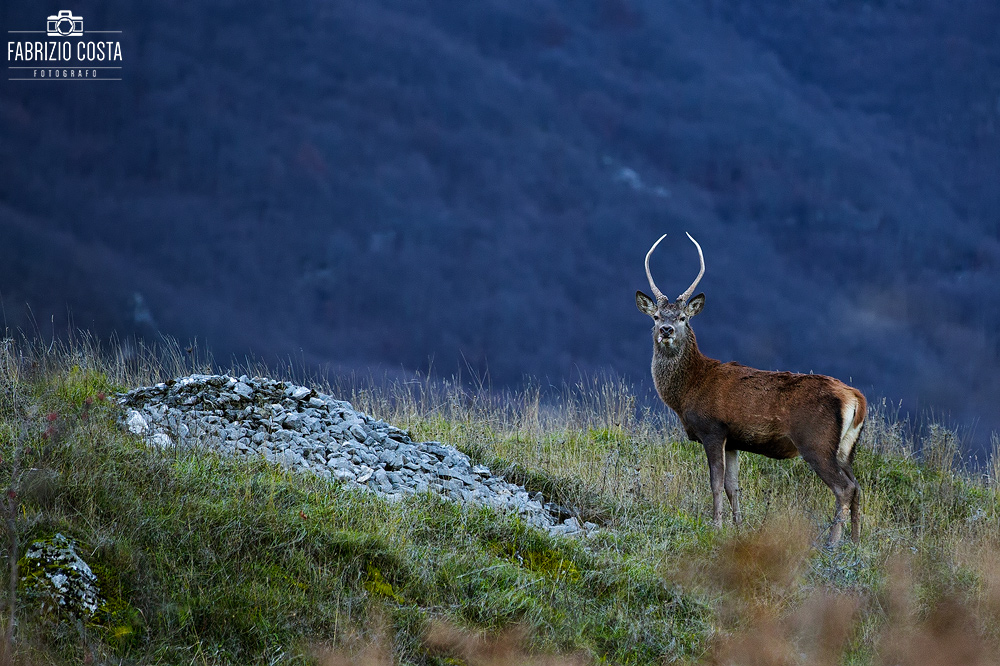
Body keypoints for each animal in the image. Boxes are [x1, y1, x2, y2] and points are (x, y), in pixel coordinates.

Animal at [640, 231, 868, 544]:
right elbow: (733, 487)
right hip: (846, 447)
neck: (689, 390)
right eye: (656, 316)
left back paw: (832, 544)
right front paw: (738, 526)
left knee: (843, 488)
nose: (666, 330)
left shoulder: (713, 429)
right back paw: (855, 544)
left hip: (816, 441)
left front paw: (716, 526)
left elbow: (715, 482)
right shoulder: (734, 440)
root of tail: (856, 398)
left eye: (683, 318)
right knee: (857, 486)